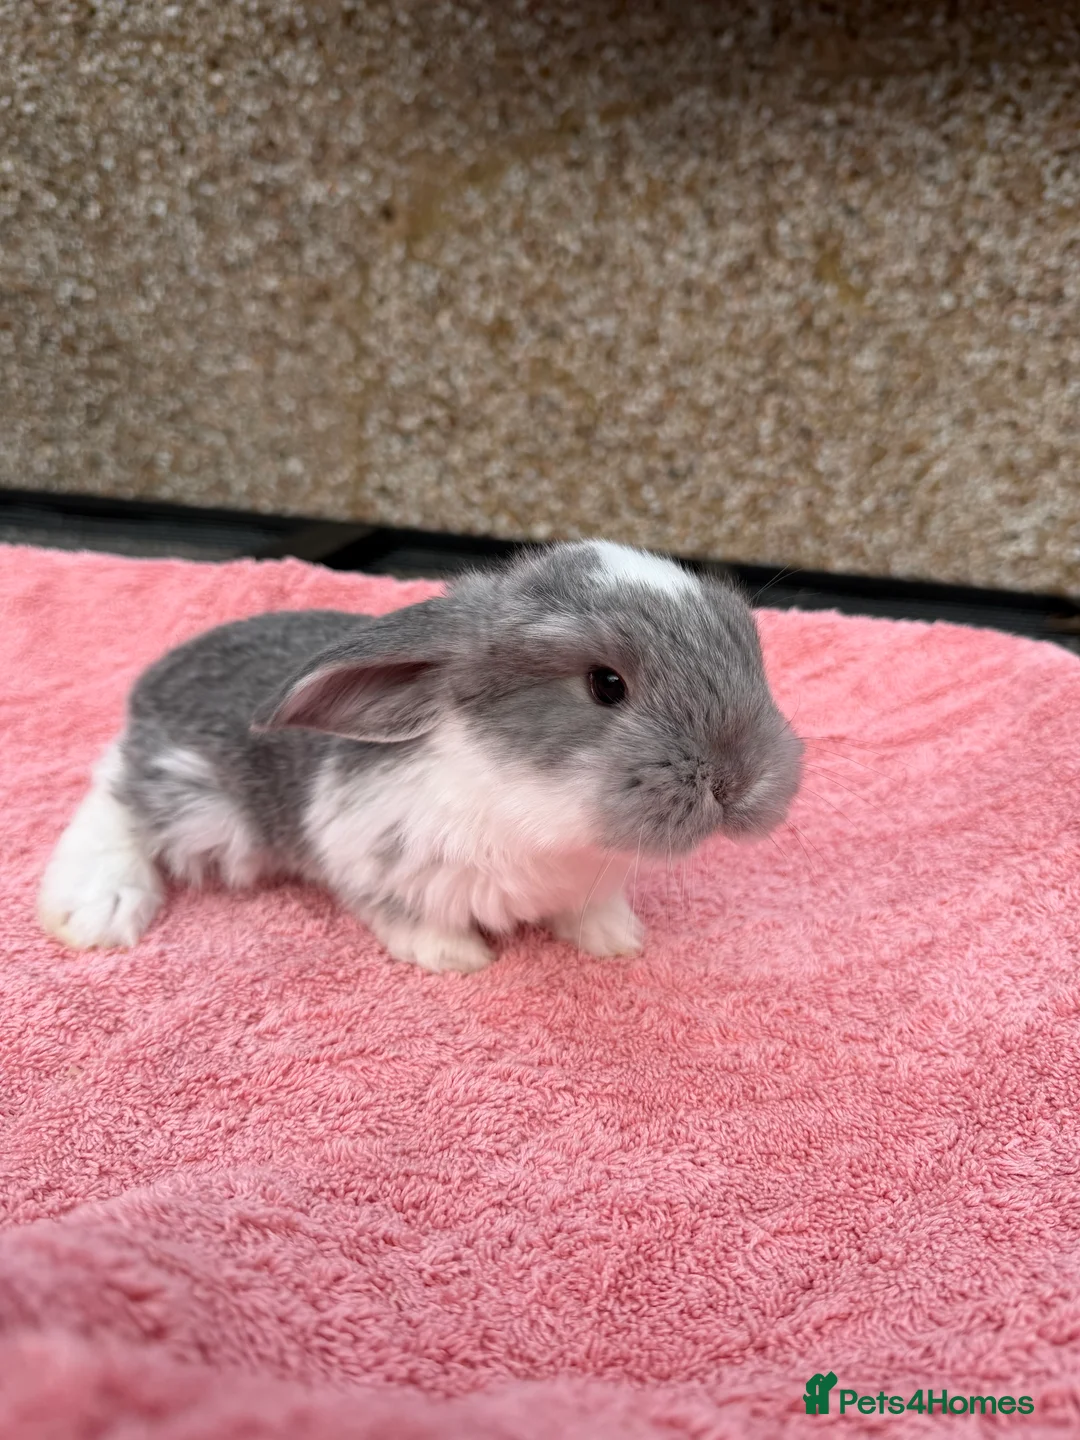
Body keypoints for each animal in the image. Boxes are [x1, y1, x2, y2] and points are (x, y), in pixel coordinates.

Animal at [38, 540, 803, 974]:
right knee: (114, 798)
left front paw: (616, 941)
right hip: (206, 807)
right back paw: (95, 908)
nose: (739, 780)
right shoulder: (371, 855)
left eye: (750, 649)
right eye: (605, 684)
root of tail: (154, 677)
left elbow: (592, 914)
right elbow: (410, 919)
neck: (540, 810)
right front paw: (455, 959)